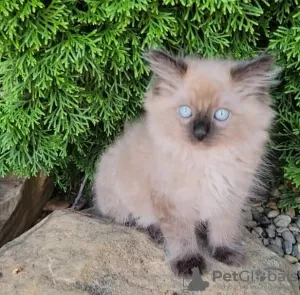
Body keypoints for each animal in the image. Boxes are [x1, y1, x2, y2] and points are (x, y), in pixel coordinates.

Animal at [93, 49, 282, 278]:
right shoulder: (171, 201)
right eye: (185, 112)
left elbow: (224, 227)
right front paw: (189, 264)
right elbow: (181, 237)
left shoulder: (230, 195)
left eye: (221, 114)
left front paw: (225, 252)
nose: (200, 133)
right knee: (131, 220)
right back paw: (155, 232)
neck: (206, 161)